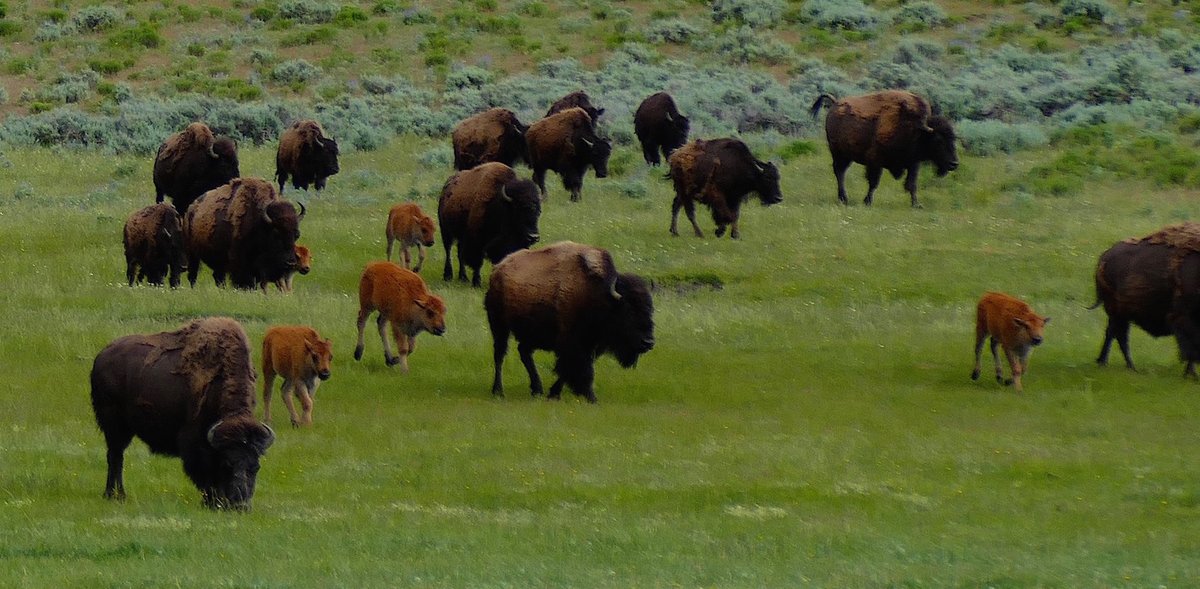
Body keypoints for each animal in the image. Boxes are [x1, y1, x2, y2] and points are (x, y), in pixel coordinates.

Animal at [90, 317, 275, 510]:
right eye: (227, 464)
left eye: (256, 467)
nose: (240, 505)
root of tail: (102, 356)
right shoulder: (195, 442)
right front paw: (210, 502)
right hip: (114, 426)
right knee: (115, 457)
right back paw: (115, 495)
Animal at [486, 241, 655, 403]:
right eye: (628, 310)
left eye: (650, 310)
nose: (648, 342)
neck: (598, 293)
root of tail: (498, 269)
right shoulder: (573, 342)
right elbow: (580, 369)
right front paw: (592, 398)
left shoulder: (589, 345)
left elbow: (569, 371)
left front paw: (554, 394)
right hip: (499, 325)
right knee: (500, 354)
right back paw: (498, 391)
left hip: (532, 333)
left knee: (524, 352)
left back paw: (537, 390)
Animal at [811, 90, 958, 208]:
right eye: (938, 140)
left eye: (953, 138)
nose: (954, 164)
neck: (917, 130)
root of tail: (835, 103)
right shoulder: (875, 161)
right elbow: (873, 182)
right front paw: (868, 202)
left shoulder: (913, 164)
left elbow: (912, 184)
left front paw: (916, 205)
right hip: (838, 152)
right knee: (839, 172)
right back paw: (844, 198)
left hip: (846, 156)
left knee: (841, 172)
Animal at [1092, 223, 1200, 378]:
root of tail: (1104, 257)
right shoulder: (1183, 316)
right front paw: (1191, 375)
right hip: (1117, 313)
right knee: (1118, 335)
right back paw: (1124, 366)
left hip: (1121, 315)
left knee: (1115, 334)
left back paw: (1112, 363)